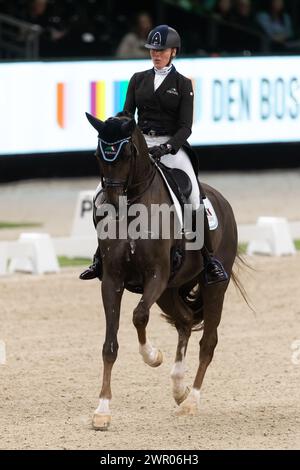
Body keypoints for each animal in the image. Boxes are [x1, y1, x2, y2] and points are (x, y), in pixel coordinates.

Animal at [86, 113, 239, 430]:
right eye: (97, 155)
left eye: (127, 154)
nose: (111, 203)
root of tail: (220, 199)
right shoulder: (112, 280)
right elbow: (109, 344)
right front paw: (102, 410)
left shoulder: (155, 275)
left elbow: (139, 316)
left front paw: (152, 356)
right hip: (170, 291)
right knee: (185, 322)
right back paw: (179, 389)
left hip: (213, 286)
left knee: (208, 341)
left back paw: (191, 401)